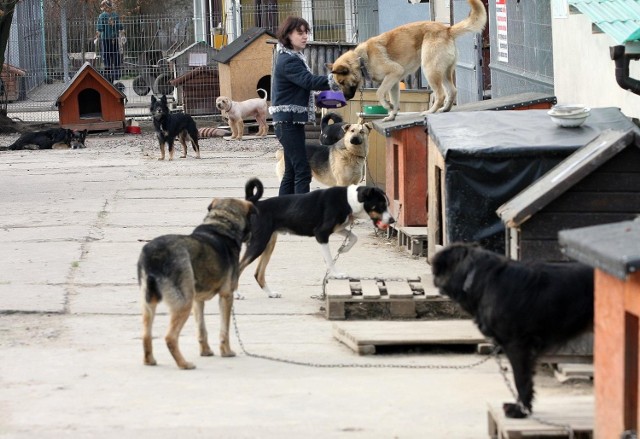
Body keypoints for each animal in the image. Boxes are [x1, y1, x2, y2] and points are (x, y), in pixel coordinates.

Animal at [138, 198, 255, 370]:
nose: (251, 236)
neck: (222, 222)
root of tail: (154, 256)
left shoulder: (197, 300)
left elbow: (201, 329)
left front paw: (206, 351)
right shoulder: (226, 296)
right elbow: (224, 330)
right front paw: (226, 352)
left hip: (149, 304)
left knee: (146, 334)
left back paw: (149, 361)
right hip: (183, 303)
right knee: (170, 337)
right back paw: (184, 364)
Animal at [238, 178, 392, 300]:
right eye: (381, 205)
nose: (392, 220)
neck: (348, 200)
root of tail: (254, 204)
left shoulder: (337, 229)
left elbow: (354, 237)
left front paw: (343, 249)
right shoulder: (321, 234)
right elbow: (330, 260)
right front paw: (337, 274)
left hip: (268, 244)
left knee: (258, 274)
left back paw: (271, 293)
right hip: (259, 243)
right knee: (239, 267)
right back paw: (238, 294)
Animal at [330, 0, 484, 121]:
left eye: (342, 82)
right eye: (339, 84)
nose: (346, 98)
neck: (361, 59)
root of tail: (447, 29)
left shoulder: (394, 72)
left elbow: (379, 92)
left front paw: (387, 106)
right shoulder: (393, 82)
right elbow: (394, 100)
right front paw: (391, 115)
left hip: (429, 70)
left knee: (440, 95)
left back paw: (430, 111)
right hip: (444, 72)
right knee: (452, 91)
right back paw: (445, 109)